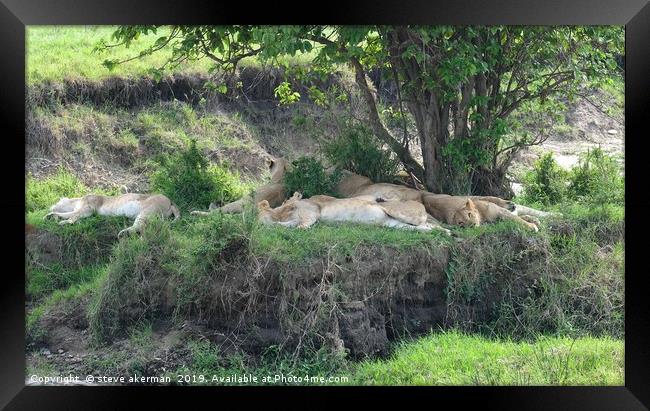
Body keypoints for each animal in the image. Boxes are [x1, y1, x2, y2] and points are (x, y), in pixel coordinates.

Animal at [44, 194, 180, 238]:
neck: (76, 201)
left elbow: (72, 216)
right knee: (144, 228)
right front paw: (50, 216)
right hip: (150, 215)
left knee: (140, 227)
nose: (50, 206)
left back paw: (124, 234)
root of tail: (171, 201)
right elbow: (67, 214)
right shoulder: (83, 211)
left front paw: (64, 221)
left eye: (57, 202)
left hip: (146, 211)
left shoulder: (88, 210)